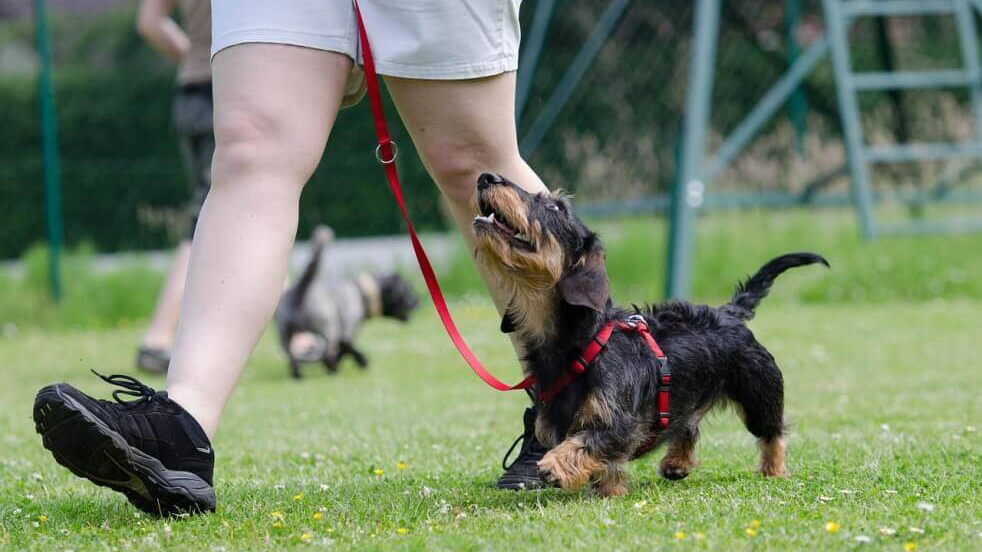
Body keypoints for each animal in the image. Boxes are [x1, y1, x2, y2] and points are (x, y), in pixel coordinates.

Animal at [274, 225, 420, 380]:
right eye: (408, 290)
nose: (418, 301)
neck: (361, 292)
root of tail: (301, 288)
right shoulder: (348, 330)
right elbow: (346, 349)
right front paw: (361, 361)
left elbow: (344, 350)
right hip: (327, 329)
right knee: (326, 353)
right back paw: (332, 370)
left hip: (285, 335)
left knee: (293, 357)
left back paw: (299, 375)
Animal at [472, 172, 828, 496]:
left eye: (555, 206)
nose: (486, 177)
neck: (583, 343)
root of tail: (728, 312)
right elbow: (605, 464)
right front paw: (609, 490)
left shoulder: (621, 424)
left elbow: (587, 443)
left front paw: (555, 465)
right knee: (688, 426)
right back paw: (677, 463)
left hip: (759, 394)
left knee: (773, 433)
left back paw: (774, 469)